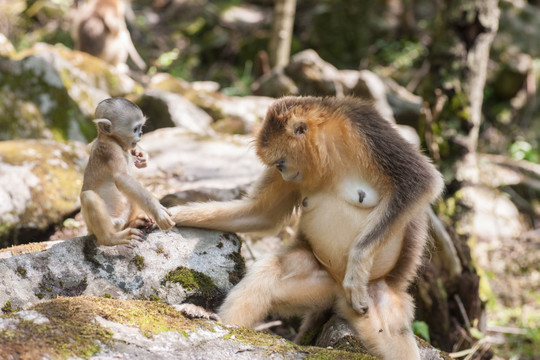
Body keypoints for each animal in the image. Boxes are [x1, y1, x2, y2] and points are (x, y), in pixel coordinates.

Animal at [80, 97, 174, 246]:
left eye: (141, 128)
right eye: (135, 129)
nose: (141, 134)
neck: (112, 140)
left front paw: (141, 154)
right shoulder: (110, 151)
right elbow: (122, 178)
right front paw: (159, 211)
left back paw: (136, 221)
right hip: (106, 224)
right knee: (88, 196)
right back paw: (111, 238)